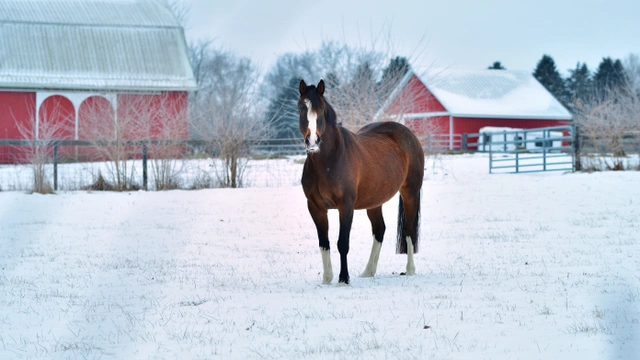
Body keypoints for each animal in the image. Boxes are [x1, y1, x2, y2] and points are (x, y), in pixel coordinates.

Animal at [300, 79, 424, 284]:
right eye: (301, 108)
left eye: (321, 110)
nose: (312, 142)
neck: (328, 161)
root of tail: (409, 135)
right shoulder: (315, 207)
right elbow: (324, 243)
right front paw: (327, 279)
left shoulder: (345, 206)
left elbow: (342, 243)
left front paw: (343, 279)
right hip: (374, 202)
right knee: (380, 230)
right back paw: (369, 271)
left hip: (410, 193)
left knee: (409, 230)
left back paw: (410, 270)